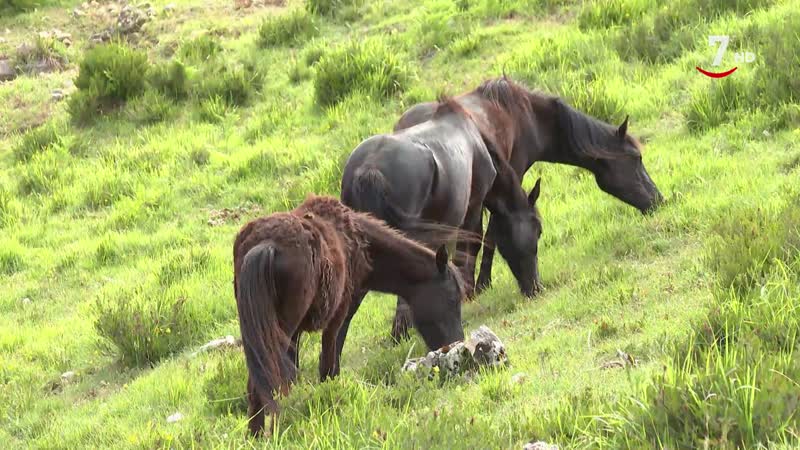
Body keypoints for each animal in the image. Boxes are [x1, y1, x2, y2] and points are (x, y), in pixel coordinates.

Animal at [233, 195, 466, 437]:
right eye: (453, 299)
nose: (456, 344)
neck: (359, 244)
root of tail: (266, 245)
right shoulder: (338, 316)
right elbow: (328, 364)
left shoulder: (299, 332)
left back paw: (256, 436)